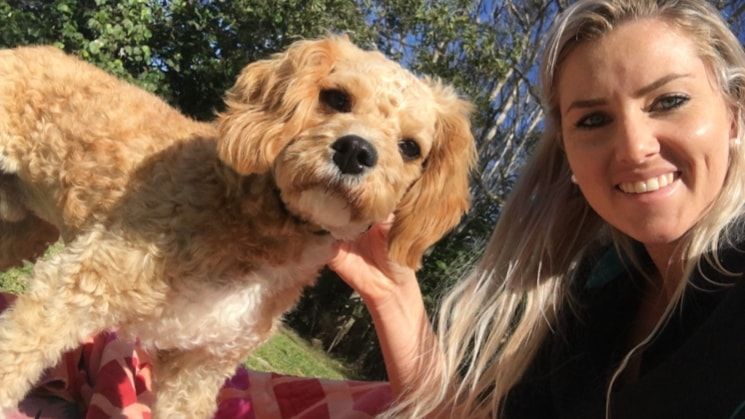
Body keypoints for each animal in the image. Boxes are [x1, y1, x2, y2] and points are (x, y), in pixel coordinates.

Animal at [0, 36, 476, 417]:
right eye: (336, 98)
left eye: (411, 148)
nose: (356, 152)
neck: (268, 225)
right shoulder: (78, 288)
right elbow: (14, 360)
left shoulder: (200, 368)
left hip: (24, 231)